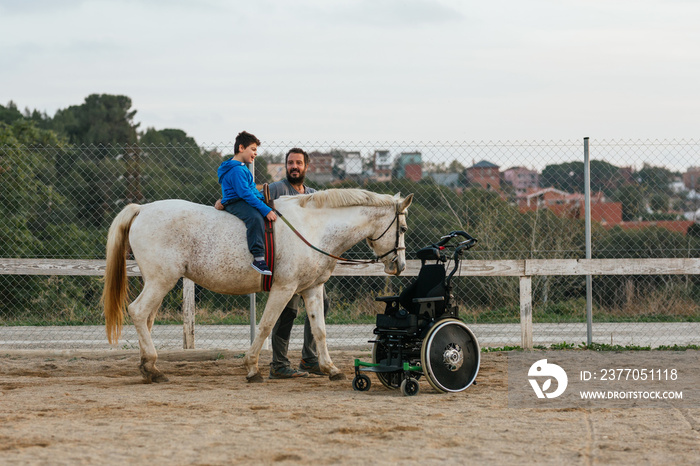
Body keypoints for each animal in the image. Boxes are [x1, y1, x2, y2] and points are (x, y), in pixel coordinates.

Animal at [101, 188, 412, 382]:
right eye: (403, 228)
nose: (400, 266)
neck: (312, 228)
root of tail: (141, 209)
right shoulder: (284, 288)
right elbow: (266, 326)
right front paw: (252, 368)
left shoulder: (311, 289)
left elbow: (320, 331)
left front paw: (331, 369)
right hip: (161, 280)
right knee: (138, 312)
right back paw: (152, 368)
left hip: (157, 282)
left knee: (147, 318)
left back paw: (148, 366)